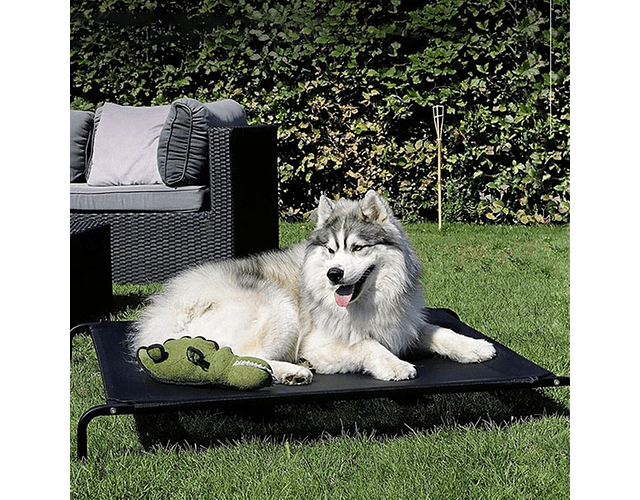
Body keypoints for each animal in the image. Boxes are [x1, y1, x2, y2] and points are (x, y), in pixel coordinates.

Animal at [132, 189, 498, 384]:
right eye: (332, 250)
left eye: (357, 248)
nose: (334, 275)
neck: (370, 300)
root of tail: (168, 311)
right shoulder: (319, 342)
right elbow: (367, 345)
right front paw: (394, 365)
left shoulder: (402, 324)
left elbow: (440, 331)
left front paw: (475, 347)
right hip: (277, 308)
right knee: (239, 356)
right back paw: (292, 371)